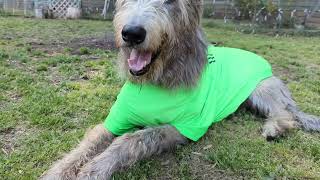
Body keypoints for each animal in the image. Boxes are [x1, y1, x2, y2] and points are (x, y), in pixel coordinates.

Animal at [40, 0, 320, 179]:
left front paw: (93, 170)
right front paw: (58, 170)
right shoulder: (115, 119)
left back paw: (275, 128)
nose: (132, 33)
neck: (155, 80)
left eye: (170, 1)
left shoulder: (184, 126)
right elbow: (90, 140)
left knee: (286, 113)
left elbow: (134, 138)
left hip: (260, 88)